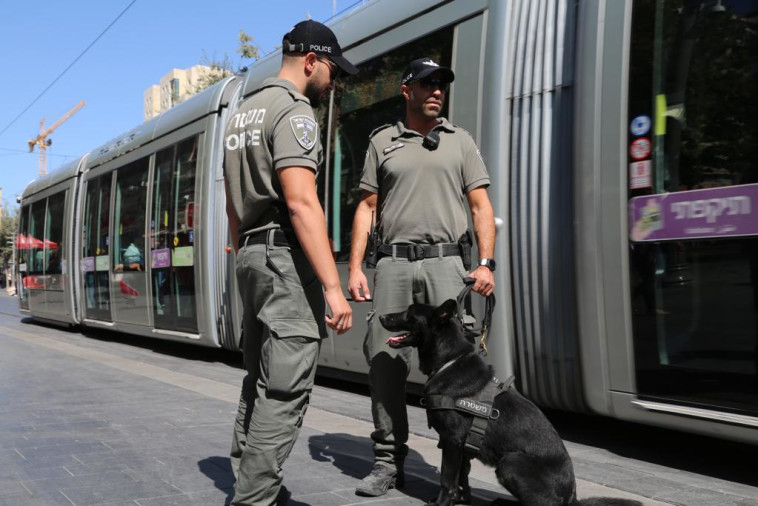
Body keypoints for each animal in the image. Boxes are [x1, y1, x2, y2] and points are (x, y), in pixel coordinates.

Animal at [386, 300, 640, 506]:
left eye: (409, 312)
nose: (381, 317)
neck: (449, 361)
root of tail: (572, 498)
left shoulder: (452, 439)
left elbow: (447, 478)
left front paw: (442, 503)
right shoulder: (460, 445)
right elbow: (461, 476)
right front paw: (460, 498)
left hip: (510, 462)